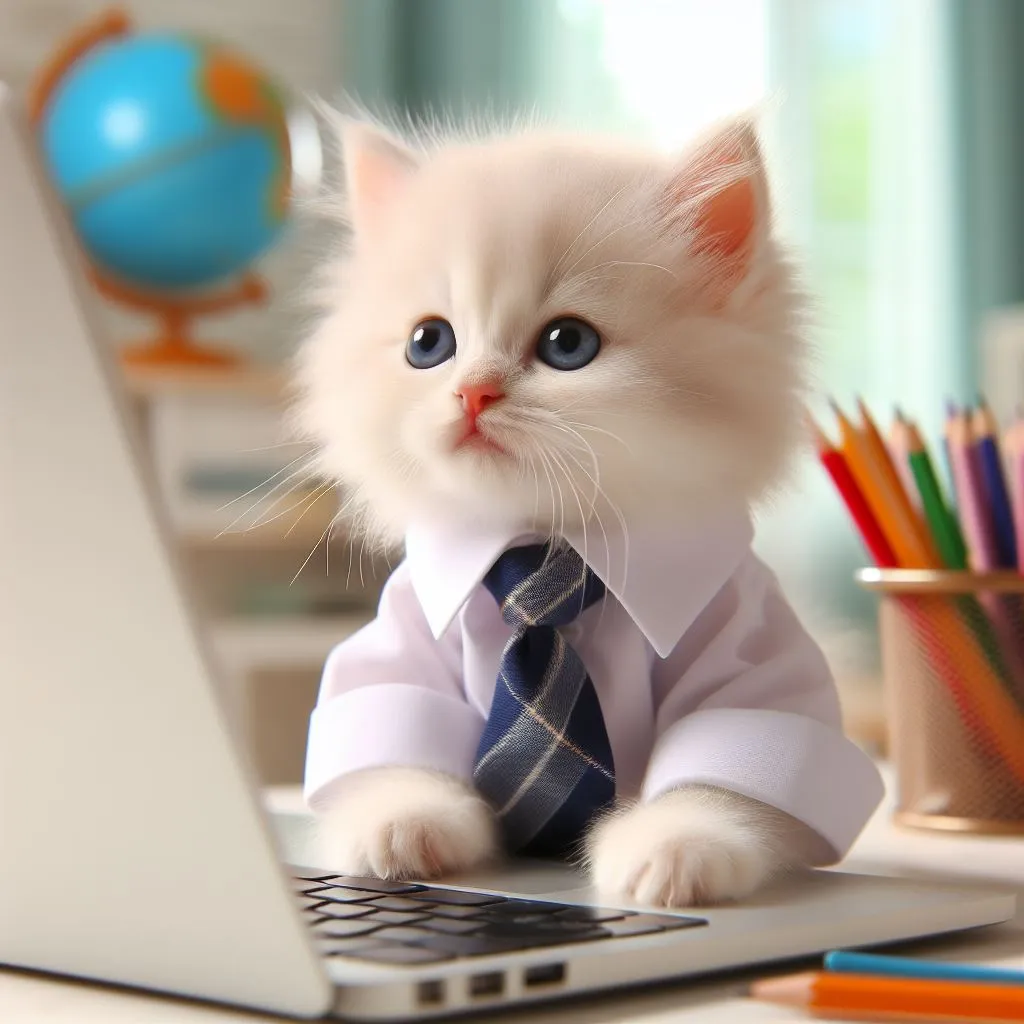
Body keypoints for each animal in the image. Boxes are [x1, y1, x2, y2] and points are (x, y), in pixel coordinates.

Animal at [296, 116, 823, 909]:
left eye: (567, 344)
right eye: (429, 343)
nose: (473, 392)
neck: (546, 549)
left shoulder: (747, 646)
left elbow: (721, 770)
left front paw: (674, 850)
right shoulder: (405, 639)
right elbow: (394, 743)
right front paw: (402, 827)